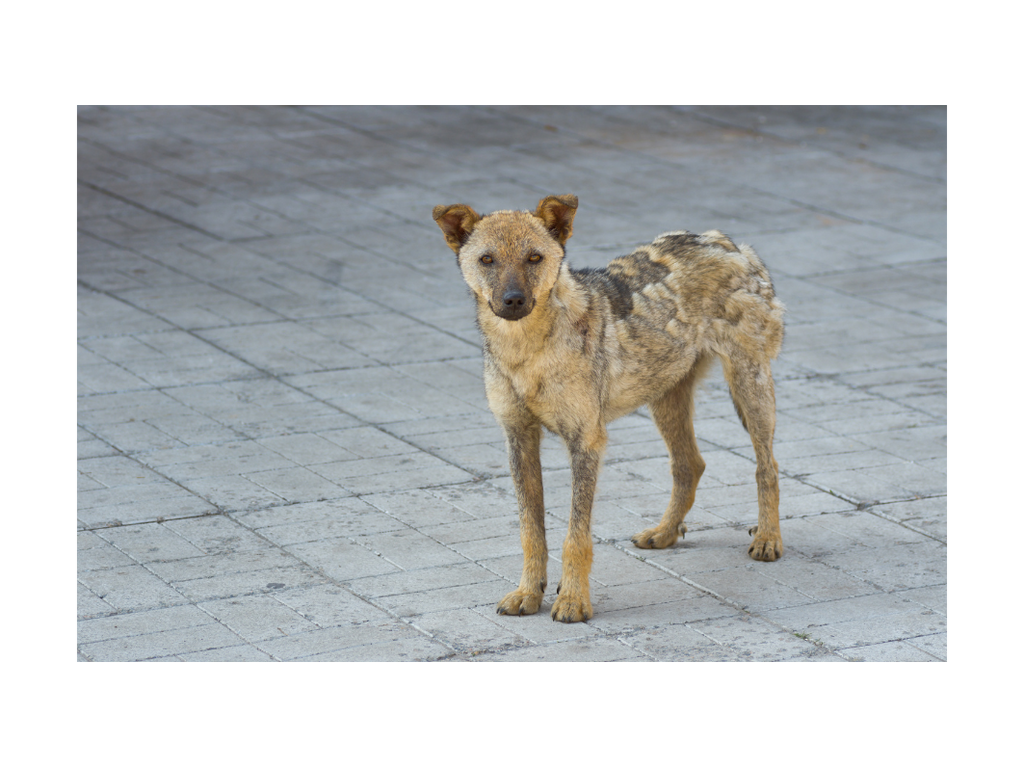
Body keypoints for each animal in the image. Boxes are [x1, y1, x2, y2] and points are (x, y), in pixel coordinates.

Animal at [432, 195, 782, 622]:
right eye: (487, 259)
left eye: (534, 258)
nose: (513, 300)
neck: (526, 351)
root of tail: (725, 241)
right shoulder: (518, 438)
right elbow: (531, 531)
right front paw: (529, 592)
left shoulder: (586, 442)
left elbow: (575, 536)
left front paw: (572, 601)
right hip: (665, 398)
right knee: (690, 465)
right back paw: (664, 533)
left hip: (749, 388)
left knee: (767, 467)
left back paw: (768, 539)